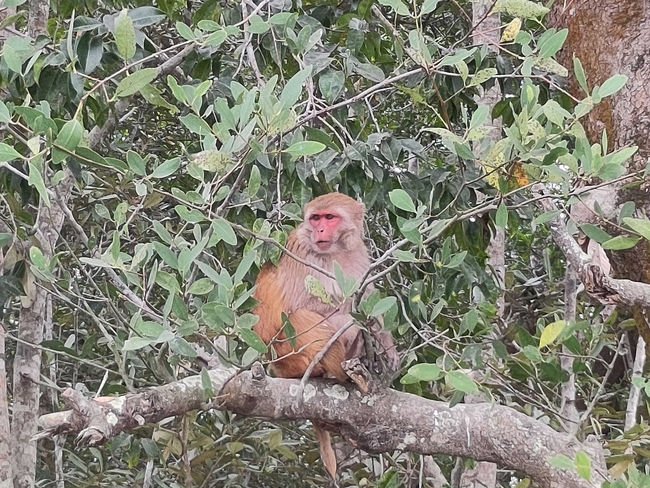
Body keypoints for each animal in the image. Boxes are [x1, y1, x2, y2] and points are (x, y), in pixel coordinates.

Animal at [252, 192, 398, 479]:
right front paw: (357, 325)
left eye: (330, 217)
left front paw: (385, 344)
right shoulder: (301, 249)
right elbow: (301, 305)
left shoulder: (359, 252)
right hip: (286, 357)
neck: (335, 250)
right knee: (301, 318)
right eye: (315, 218)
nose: (319, 230)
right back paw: (340, 371)